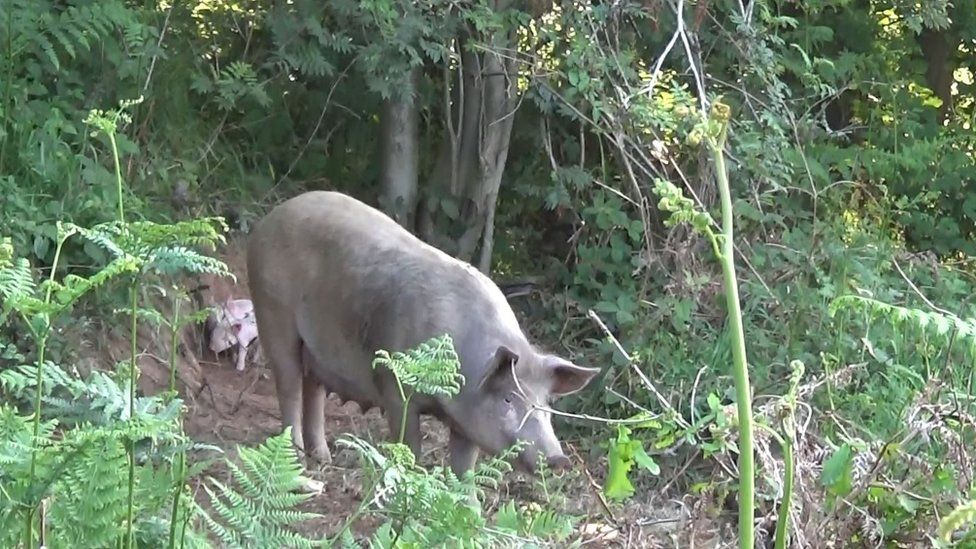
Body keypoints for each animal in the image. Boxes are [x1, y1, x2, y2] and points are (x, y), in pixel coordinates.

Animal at [244, 191, 600, 474]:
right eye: (509, 399)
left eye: (547, 404)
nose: (558, 460)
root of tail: (270, 218)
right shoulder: (395, 385)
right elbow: (410, 444)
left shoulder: (466, 422)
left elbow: (464, 467)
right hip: (272, 311)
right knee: (288, 386)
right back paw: (298, 462)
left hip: (315, 348)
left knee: (313, 389)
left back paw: (323, 458)